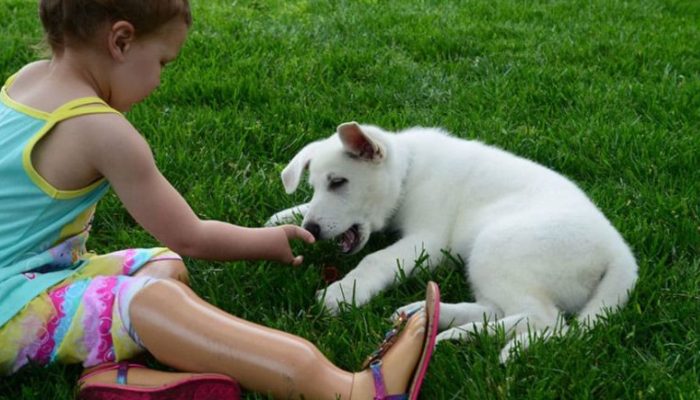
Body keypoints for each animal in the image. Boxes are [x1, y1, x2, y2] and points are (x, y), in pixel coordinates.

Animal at [268, 121, 640, 360]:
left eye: (339, 182)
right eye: (315, 186)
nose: (313, 230)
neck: (408, 172)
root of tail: (620, 254)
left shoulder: (427, 242)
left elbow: (375, 259)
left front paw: (344, 291)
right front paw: (284, 218)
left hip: (496, 247)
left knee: (544, 319)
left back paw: (459, 335)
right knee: (499, 309)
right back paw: (430, 315)